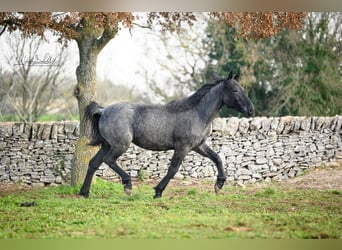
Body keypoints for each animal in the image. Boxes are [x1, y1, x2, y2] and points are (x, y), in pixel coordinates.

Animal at [79, 71, 252, 198]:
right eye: (235, 90)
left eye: (243, 89)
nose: (251, 110)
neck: (197, 114)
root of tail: (103, 111)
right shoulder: (182, 147)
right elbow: (173, 169)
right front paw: (158, 192)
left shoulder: (199, 145)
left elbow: (217, 158)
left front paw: (219, 185)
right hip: (120, 145)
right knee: (109, 160)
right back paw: (127, 185)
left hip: (107, 145)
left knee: (93, 163)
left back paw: (84, 193)